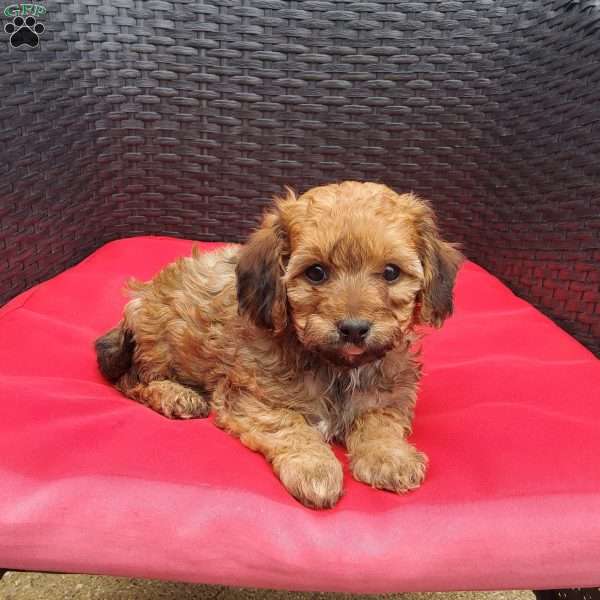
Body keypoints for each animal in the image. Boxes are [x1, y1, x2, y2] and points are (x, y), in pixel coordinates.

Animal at [97, 180, 464, 508]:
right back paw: (177, 395)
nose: (354, 330)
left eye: (391, 272)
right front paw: (316, 468)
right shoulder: (253, 397)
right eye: (316, 273)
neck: (338, 367)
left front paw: (389, 457)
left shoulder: (389, 391)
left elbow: (379, 420)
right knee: (132, 381)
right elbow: (289, 426)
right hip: (156, 338)